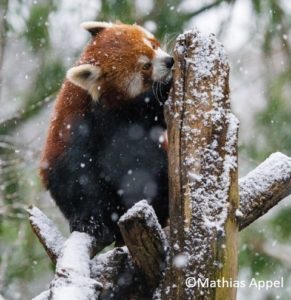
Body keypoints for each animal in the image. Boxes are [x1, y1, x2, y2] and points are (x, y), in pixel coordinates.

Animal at [40, 21, 175, 251]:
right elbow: (75, 179)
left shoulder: (133, 116)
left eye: (153, 45)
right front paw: (88, 222)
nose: (169, 61)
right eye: (145, 66)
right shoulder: (72, 133)